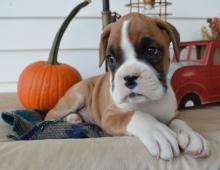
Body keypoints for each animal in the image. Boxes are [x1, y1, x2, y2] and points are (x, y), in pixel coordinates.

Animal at [44, 12, 210, 159]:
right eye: (110, 58)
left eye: (152, 51)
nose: (129, 77)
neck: (147, 103)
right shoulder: (110, 116)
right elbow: (135, 115)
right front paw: (155, 130)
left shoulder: (171, 114)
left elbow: (179, 121)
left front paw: (191, 135)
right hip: (77, 96)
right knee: (49, 115)